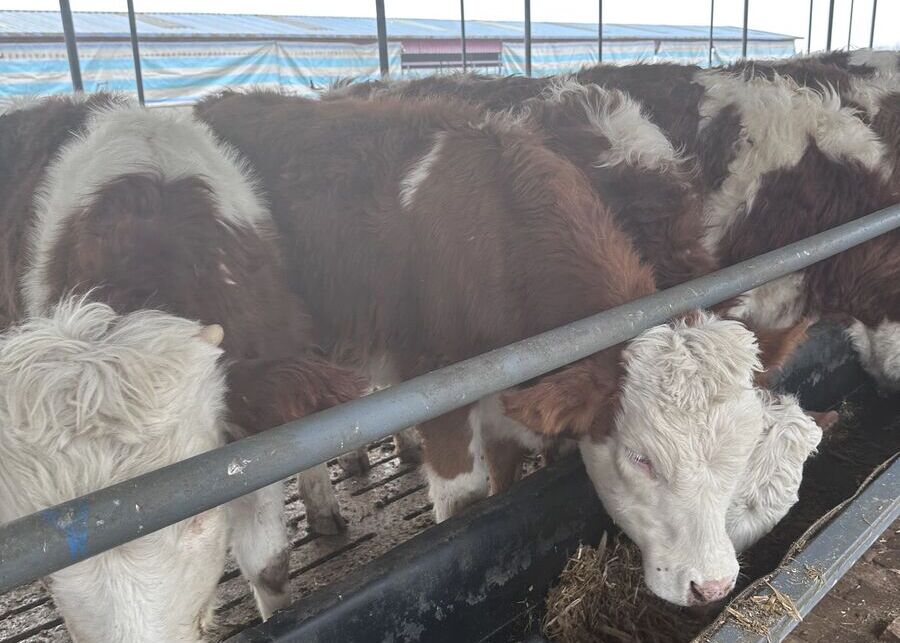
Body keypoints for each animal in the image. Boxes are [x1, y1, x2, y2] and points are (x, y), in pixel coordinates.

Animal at [196, 89, 816, 606]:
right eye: (642, 457)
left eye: (744, 449)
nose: (713, 586)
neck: (498, 246)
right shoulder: (442, 396)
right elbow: (468, 502)